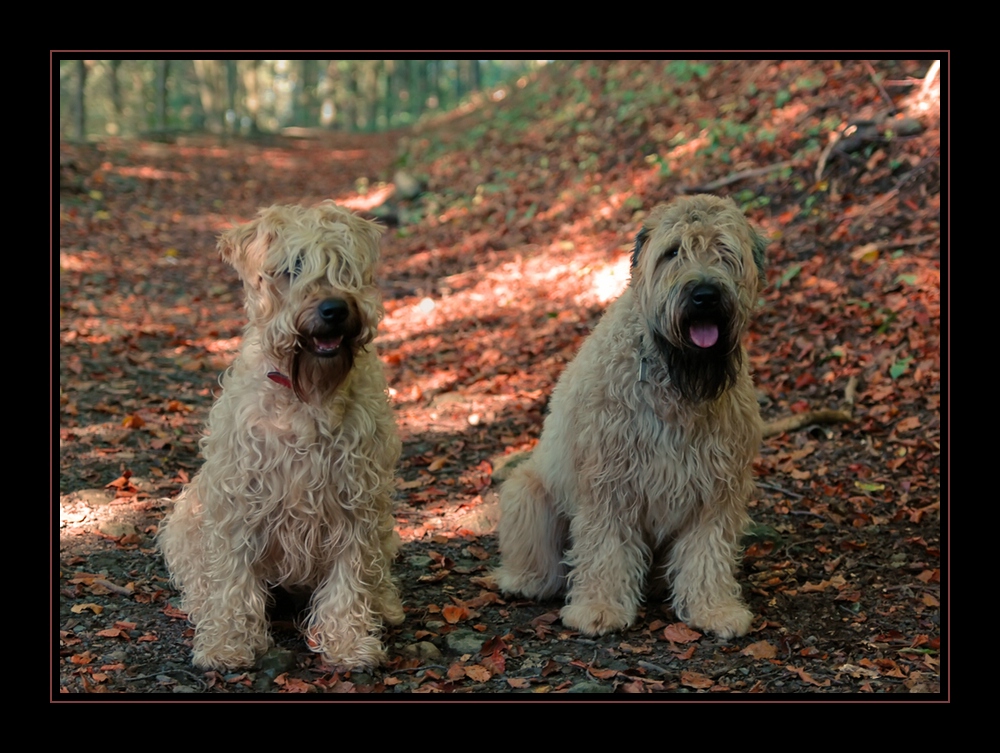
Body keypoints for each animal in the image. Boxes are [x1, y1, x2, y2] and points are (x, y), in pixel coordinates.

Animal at [160, 201, 402, 668]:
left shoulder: (356, 499)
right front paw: (228, 643)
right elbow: (231, 577)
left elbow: (351, 576)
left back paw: (386, 604)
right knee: (199, 576)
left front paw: (349, 643)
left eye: (343, 264)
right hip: (187, 519)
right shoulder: (239, 498)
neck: (305, 397)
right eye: (292, 267)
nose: (334, 309)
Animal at [496, 195, 768, 640]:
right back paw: (525, 580)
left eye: (725, 251)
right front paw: (600, 608)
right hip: (528, 493)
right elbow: (605, 548)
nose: (705, 295)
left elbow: (708, 552)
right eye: (672, 252)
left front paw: (714, 609)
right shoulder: (608, 484)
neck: (674, 377)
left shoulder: (717, 488)